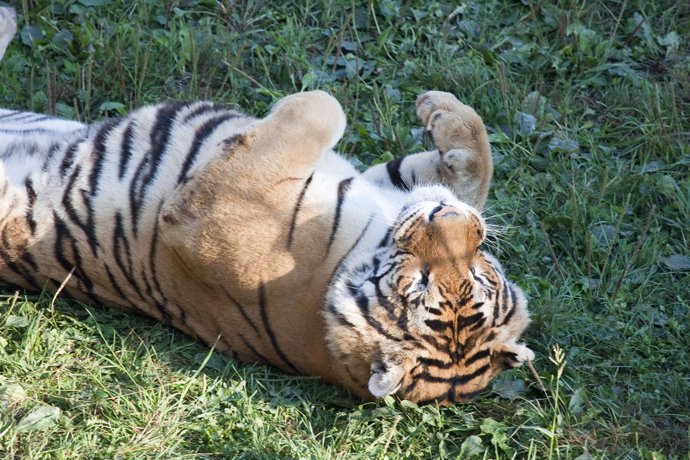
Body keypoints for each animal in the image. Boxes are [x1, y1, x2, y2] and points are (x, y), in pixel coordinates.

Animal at [0, 7, 532, 404]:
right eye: (480, 274)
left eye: (423, 284)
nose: (450, 219)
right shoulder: (384, 186)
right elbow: (473, 168)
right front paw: (440, 109)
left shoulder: (205, 212)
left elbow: (323, 106)